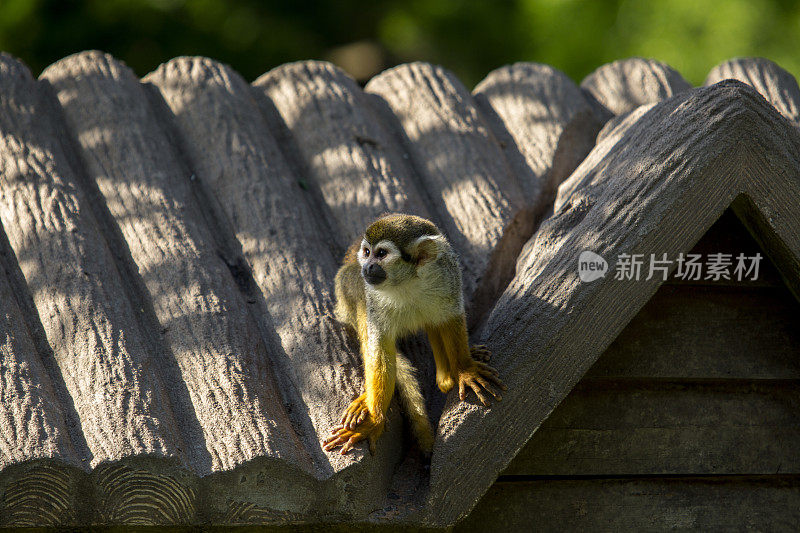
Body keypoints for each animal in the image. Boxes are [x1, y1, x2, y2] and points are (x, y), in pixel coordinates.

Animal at [322, 214, 504, 456]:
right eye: (367, 252)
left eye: (381, 254)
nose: (368, 266)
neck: (407, 282)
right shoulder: (373, 296)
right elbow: (380, 350)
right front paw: (374, 420)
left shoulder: (447, 273)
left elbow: (451, 317)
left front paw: (465, 370)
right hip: (347, 293)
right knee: (355, 285)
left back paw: (446, 375)